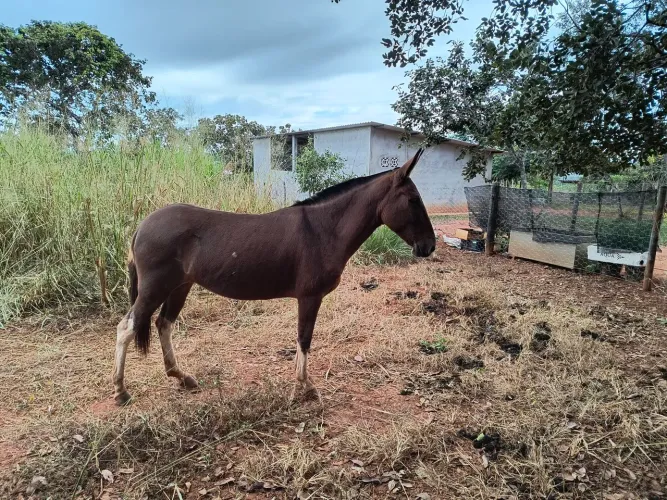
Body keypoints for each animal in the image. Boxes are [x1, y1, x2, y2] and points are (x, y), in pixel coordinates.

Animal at [112, 148, 436, 405]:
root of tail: (142, 226)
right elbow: (304, 339)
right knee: (127, 327)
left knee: (163, 324)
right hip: (155, 288)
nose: (429, 246)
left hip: (180, 286)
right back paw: (121, 391)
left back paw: (181, 376)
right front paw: (305, 387)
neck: (323, 229)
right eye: (412, 200)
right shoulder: (309, 297)